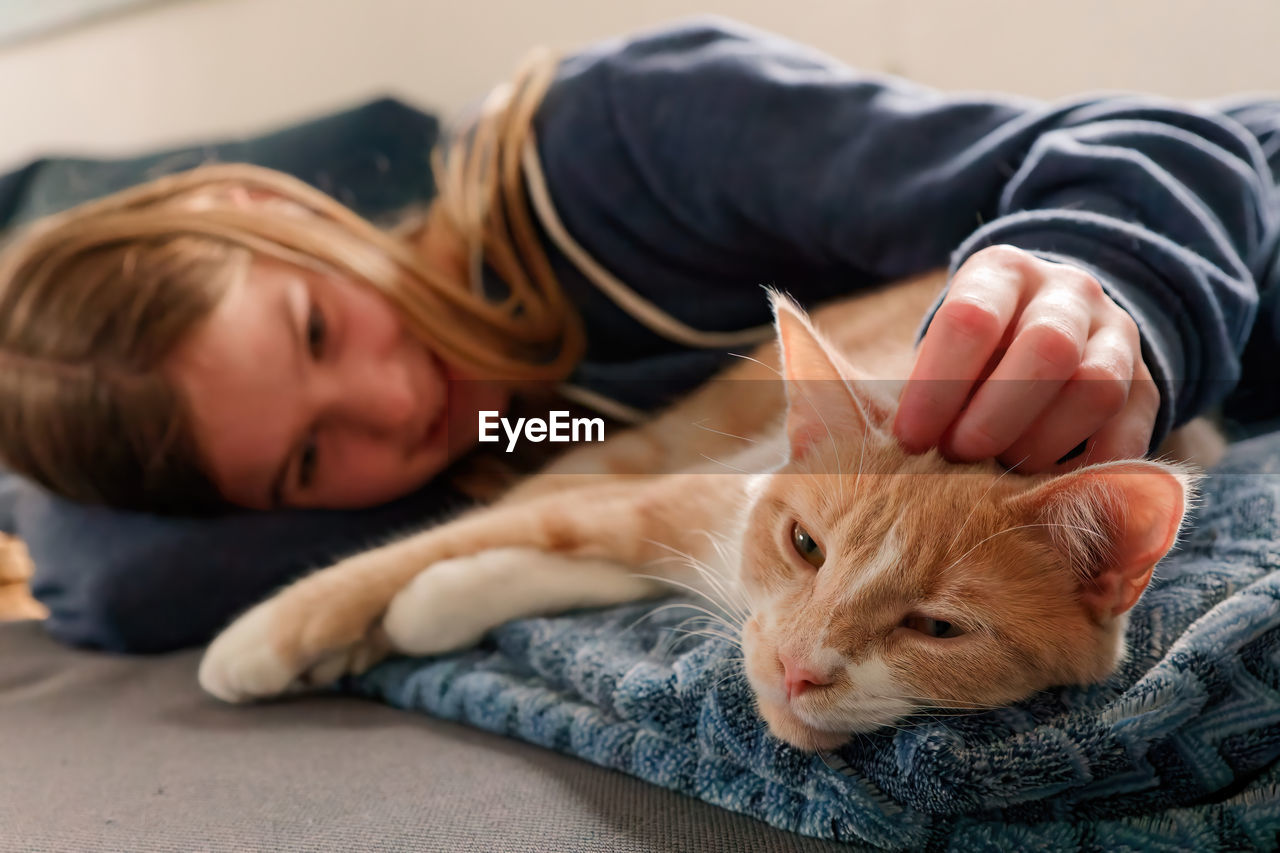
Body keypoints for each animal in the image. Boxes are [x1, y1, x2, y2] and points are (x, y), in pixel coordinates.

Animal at [202, 268, 1208, 747]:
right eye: (805, 545)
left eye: (938, 628)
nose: (799, 667)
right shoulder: (678, 499)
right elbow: (473, 537)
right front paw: (264, 636)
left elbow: (553, 570)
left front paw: (429, 608)